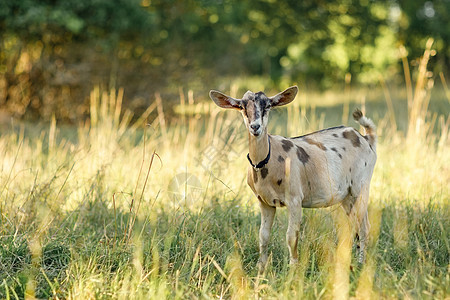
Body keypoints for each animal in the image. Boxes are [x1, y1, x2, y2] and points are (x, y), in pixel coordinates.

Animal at [209, 86, 378, 272]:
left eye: (268, 105)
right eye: (242, 107)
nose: (255, 127)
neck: (268, 159)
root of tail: (366, 138)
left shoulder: (295, 199)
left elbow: (291, 236)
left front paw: (293, 269)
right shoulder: (265, 202)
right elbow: (263, 235)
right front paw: (260, 267)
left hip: (360, 187)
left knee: (364, 227)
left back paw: (361, 263)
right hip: (346, 196)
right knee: (355, 225)